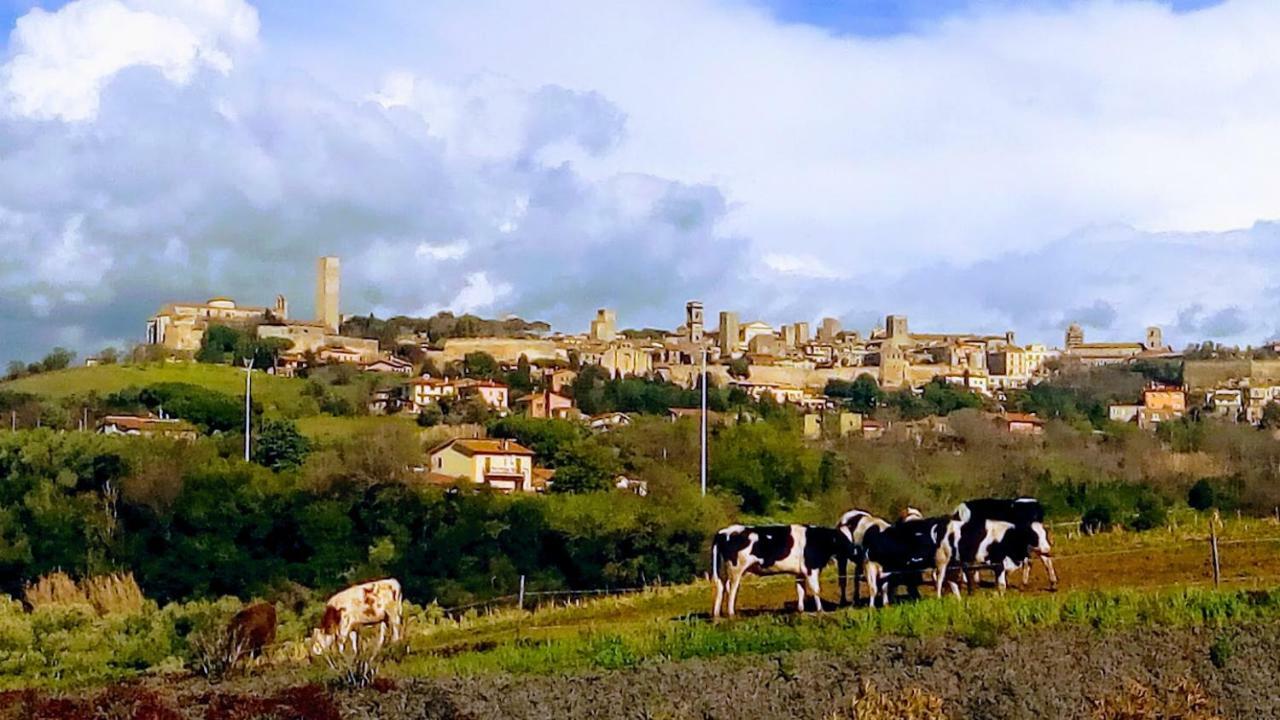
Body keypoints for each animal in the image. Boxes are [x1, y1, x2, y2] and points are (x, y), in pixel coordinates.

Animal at [716, 520, 855, 617]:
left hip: (724, 571)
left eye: (851, 537)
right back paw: (731, 614)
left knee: (721, 587)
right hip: (736, 570)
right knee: (732, 589)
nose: (854, 550)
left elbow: (801, 590)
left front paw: (801, 611)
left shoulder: (800, 573)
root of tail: (724, 531)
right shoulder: (811, 569)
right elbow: (816, 590)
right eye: (842, 538)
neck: (817, 539)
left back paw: (717, 615)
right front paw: (821, 611)